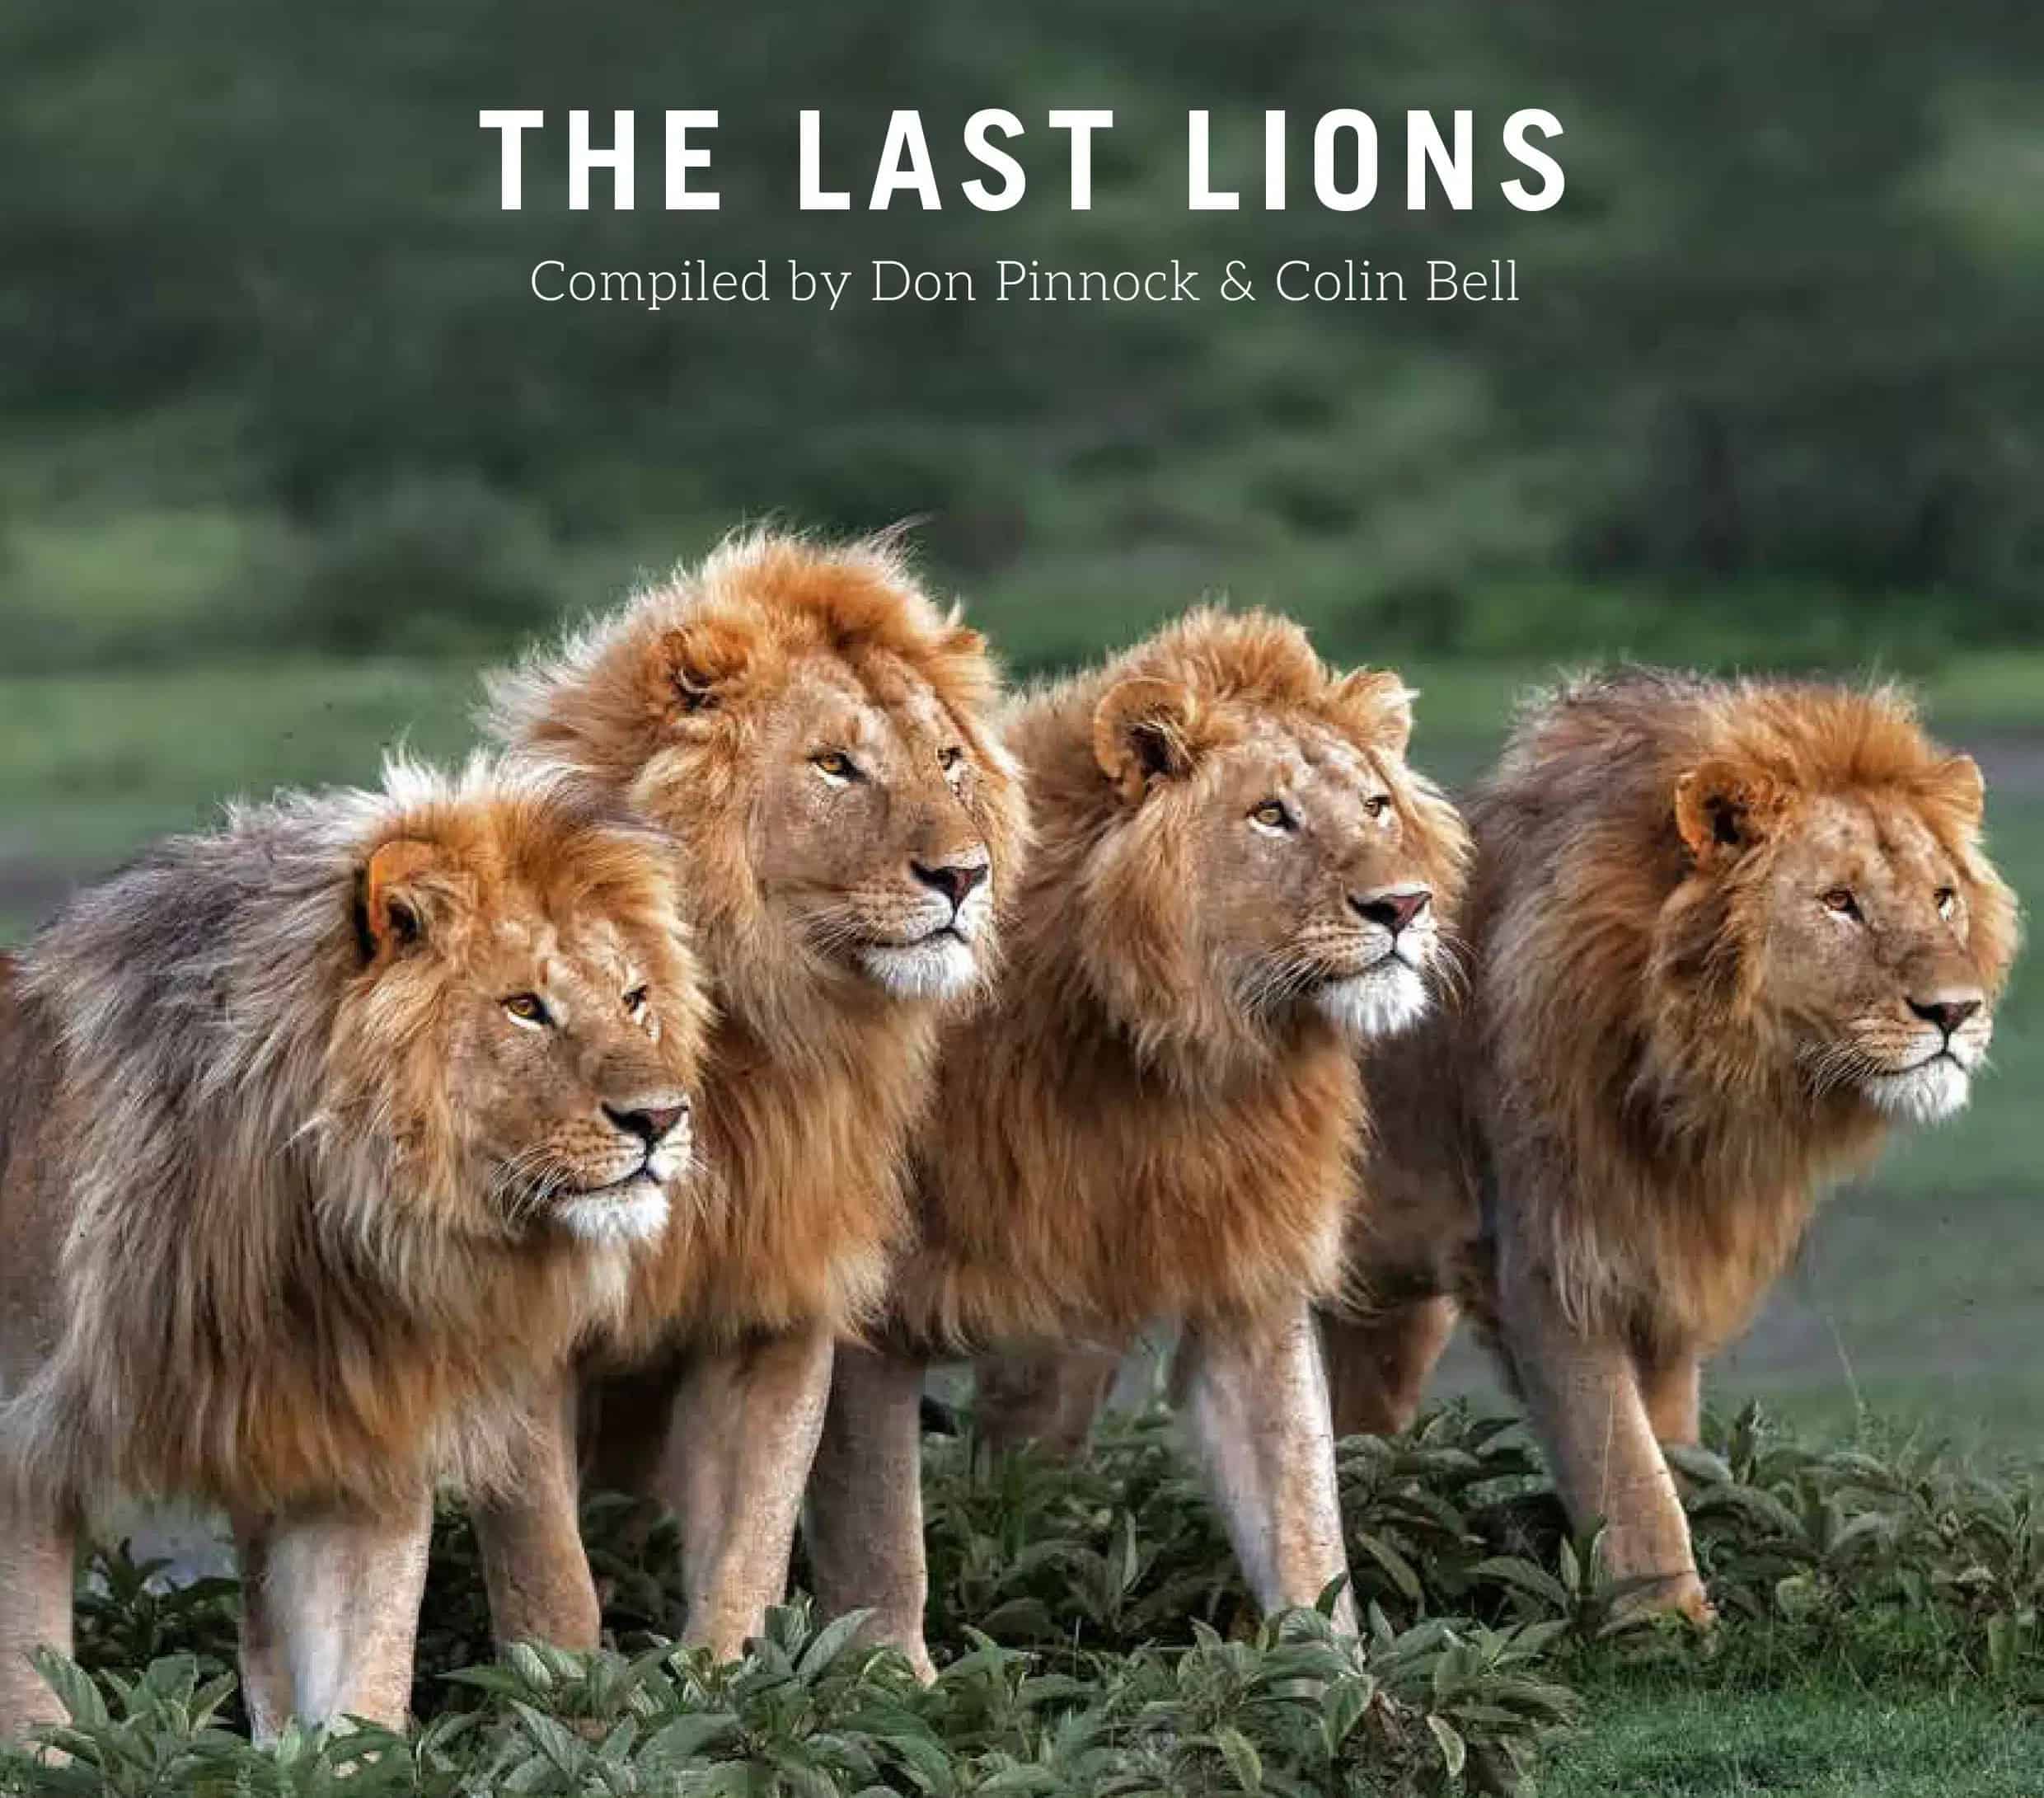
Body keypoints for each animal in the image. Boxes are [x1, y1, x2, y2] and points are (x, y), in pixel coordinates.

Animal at [0, 759, 710, 1740]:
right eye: (525, 1008)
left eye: (636, 1000)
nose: (662, 1119)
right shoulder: (20, 1457)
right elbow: (32, 1701)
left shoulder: (352, 1447)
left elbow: (359, 1689)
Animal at [472, 529, 1027, 1660]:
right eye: (835, 764)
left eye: (948, 762)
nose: (965, 876)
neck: (751, 1030)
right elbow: (544, 1567)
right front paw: (565, 1694)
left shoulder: (775, 1295)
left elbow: (753, 1537)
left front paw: (725, 1682)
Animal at [800, 609, 1470, 1675]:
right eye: (1270, 817)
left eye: (1374, 804)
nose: (1404, 907)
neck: (1160, 1056)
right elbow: (876, 1527)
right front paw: (890, 1677)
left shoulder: (1245, 1270)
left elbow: (1297, 1504)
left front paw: (1334, 1681)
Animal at [1321, 670, 2020, 1619]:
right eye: (1839, 902)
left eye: (1943, 897)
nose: (1955, 1011)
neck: (1703, 1075)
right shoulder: (1550, 1261)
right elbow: (1625, 1470)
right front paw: (1669, 1624)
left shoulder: (1670, 1257)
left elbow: (1672, 1448)